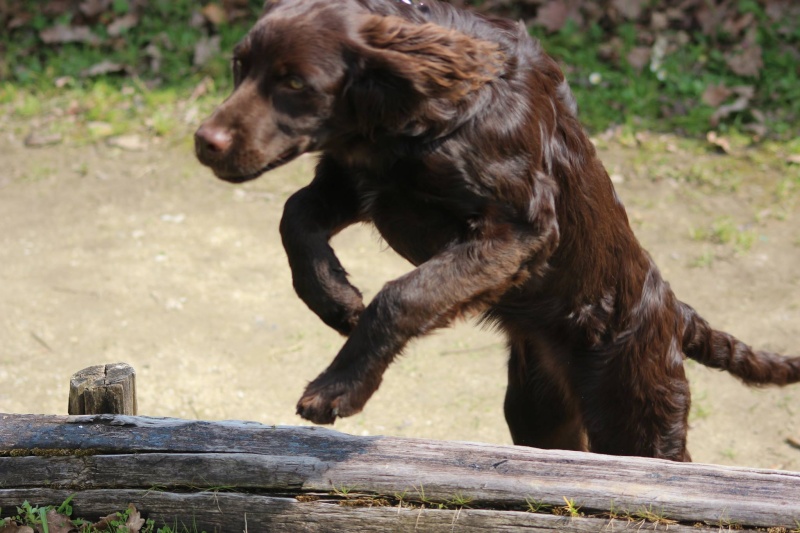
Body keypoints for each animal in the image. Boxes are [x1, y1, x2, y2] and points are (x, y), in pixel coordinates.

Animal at [195, 0, 800, 460]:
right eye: (238, 66)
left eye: (295, 82)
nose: (205, 142)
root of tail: (674, 310)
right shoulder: (357, 183)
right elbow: (293, 216)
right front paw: (336, 299)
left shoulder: (518, 229)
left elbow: (403, 295)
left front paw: (336, 389)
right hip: (539, 410)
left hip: (633, 407)